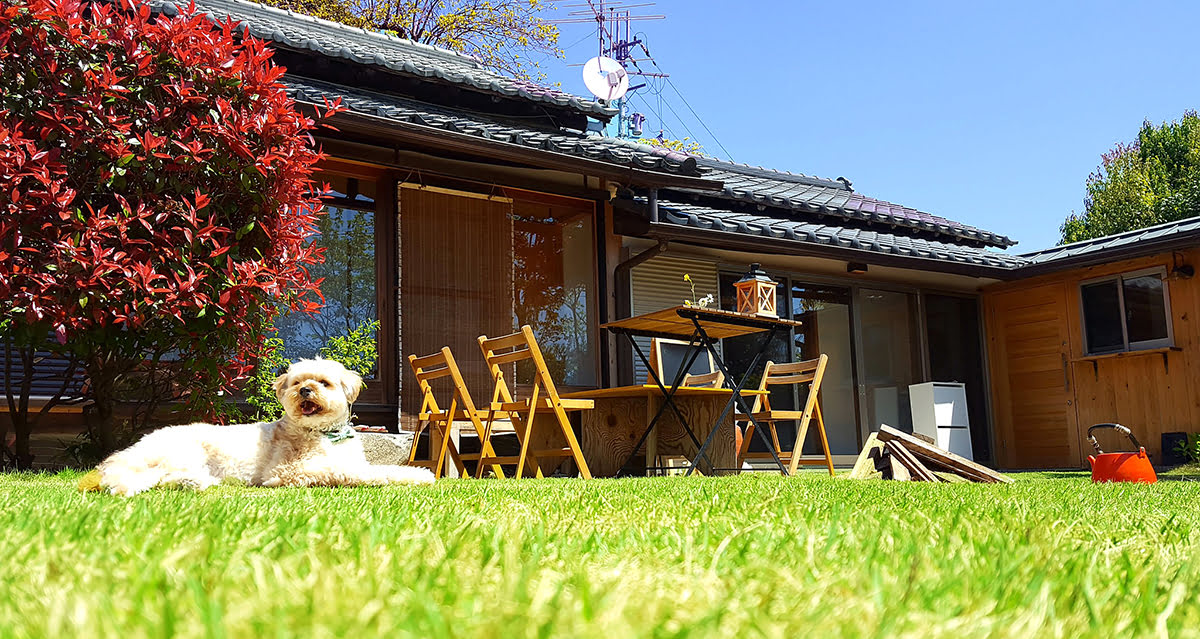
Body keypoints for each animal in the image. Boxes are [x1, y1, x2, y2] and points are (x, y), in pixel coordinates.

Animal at [96, 357, 436, 497]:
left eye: (324, 383)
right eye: (297, 383)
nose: (305, 391)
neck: (325, 434)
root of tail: (137, 446)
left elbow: (380, 469)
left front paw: (416, 475)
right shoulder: (287, 472)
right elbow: (354, 472)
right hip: (183, 452)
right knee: (160, 477)